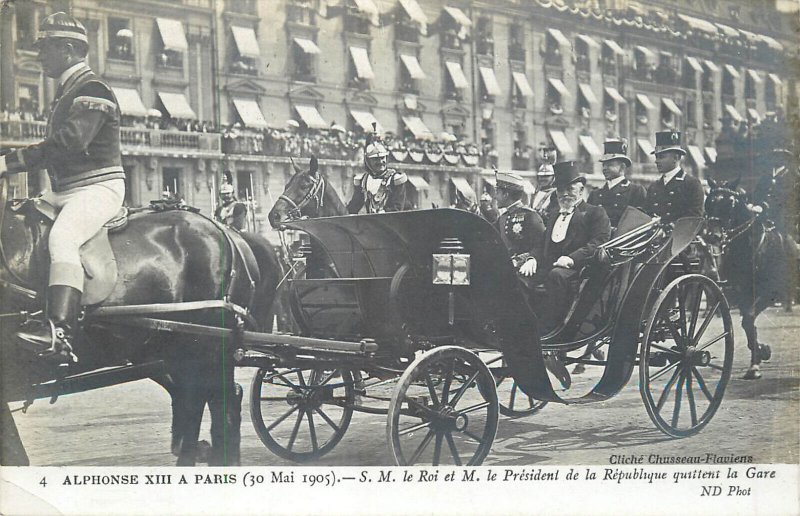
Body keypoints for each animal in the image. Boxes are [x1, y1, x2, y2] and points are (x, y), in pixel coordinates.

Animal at [708, 180, 780, 378]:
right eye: (709, 200)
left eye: (730, 202)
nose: (713, 236)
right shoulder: (740, 293)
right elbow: (748, 324)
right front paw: (760, 353)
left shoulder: (768, 293)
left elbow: (748, 319)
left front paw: (758, 358)